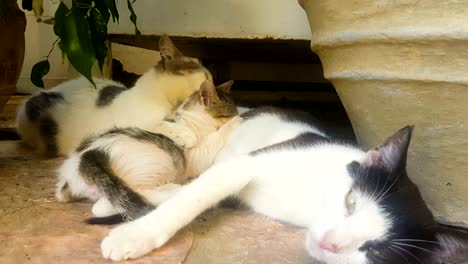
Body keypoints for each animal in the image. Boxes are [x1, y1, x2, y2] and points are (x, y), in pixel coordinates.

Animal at [55, 81, 241, 223]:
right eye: (228, 114)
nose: (238, 114)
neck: (193, 119)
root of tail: (86, 156)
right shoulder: (198, 153)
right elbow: (216, 137)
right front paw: (237, 121)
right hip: (160, 163)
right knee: (104, 206)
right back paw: (173, 189)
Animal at [77, 106, 468, 264]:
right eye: (351, 202)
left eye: (377, 252)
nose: (330, 243)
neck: (309, 202)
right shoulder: (246, 163)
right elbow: (196, 195)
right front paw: (136, 235)